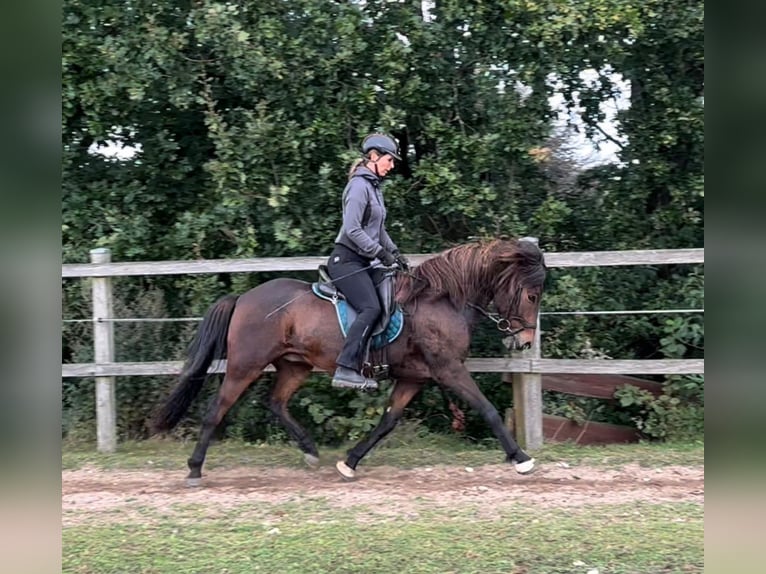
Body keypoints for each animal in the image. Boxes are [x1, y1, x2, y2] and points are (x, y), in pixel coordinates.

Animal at [150, 238, 544, 486]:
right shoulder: (449, 369)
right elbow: (487, 409)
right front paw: (521, 458)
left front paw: (349, 462)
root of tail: (244, 298)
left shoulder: (413, 378)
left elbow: (386, 423)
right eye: (531, 295)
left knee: (275, 402)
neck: (441, 300)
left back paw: (310, 452)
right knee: (217, 409)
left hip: (295, 366)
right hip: (245, 366)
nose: (523, 341)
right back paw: (194, 470)